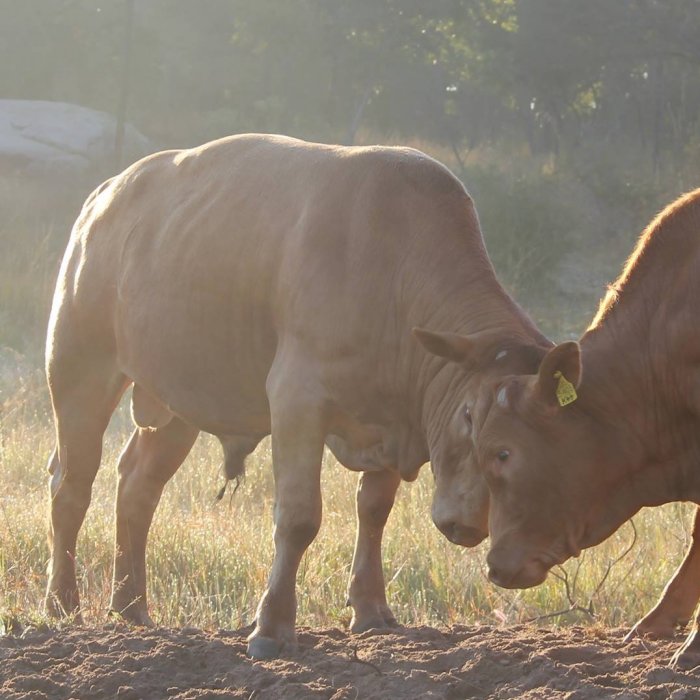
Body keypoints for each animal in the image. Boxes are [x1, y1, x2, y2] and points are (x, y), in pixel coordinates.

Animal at [44, 133, 550, 659]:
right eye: (470, 417)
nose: (471, 523)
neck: (394, 268)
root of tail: (104, 195)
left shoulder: (394, 417)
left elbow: (374, 510)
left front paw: (371, 610)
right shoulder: (296, 401)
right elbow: (299, 517)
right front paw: (271, 627)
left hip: (178, 404)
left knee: (137, 485)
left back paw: (130, 608)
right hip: (79, 374)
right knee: (71, 485)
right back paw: (62, 604)